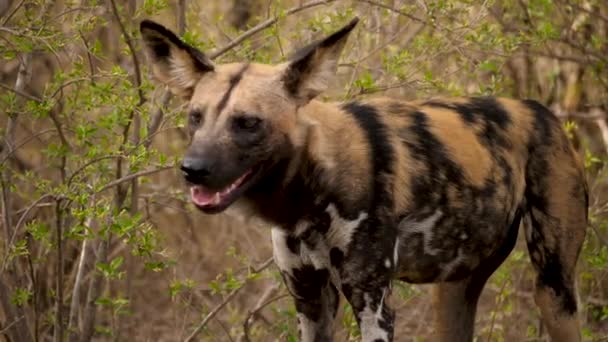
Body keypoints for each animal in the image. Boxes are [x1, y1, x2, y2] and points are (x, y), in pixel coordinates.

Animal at [140, 16, 588, 342]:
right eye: (195, 117)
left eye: (248, 123)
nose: (192, 169)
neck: (307, 199)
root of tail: (539, 108)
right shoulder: (310, 300)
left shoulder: (371, 301)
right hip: (453, 291)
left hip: (554, 291)